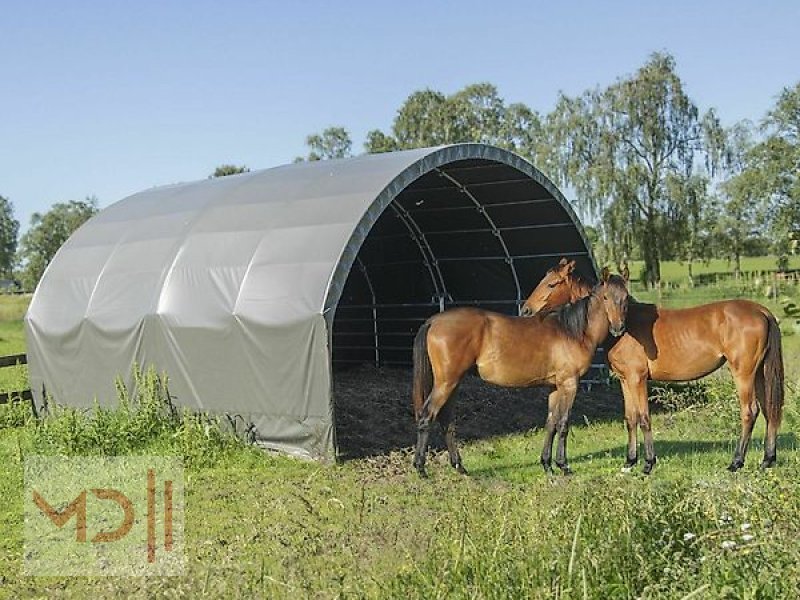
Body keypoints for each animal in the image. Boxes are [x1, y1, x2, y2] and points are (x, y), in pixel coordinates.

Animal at [412, 270, 632, 476]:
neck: (572, 332)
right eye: (605, 297)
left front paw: (547, 465)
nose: (618, 328)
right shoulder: (569, 383)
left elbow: (551, 423)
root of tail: (434, 321)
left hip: (453, 383)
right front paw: (564, 466)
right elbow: (563, 423)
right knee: (426, 416)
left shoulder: (555, 387)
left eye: (626, 297)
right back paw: (421, 468)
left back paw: (459, 467)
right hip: (446, 383)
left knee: (446, 420)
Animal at [520, 258, 784, 474]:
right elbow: (630, 418)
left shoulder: (638, 378)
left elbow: (644, 417)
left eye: (551, 284)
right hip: (759, 374)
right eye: (606, 298)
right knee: (770, 410)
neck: (626, 326)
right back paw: (766, 460)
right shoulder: (625, 380)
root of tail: (761, 310)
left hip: (744, 373)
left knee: (750, 411)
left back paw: (736, 462)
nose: (526, 309)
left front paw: (648, 463)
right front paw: (629, 462)